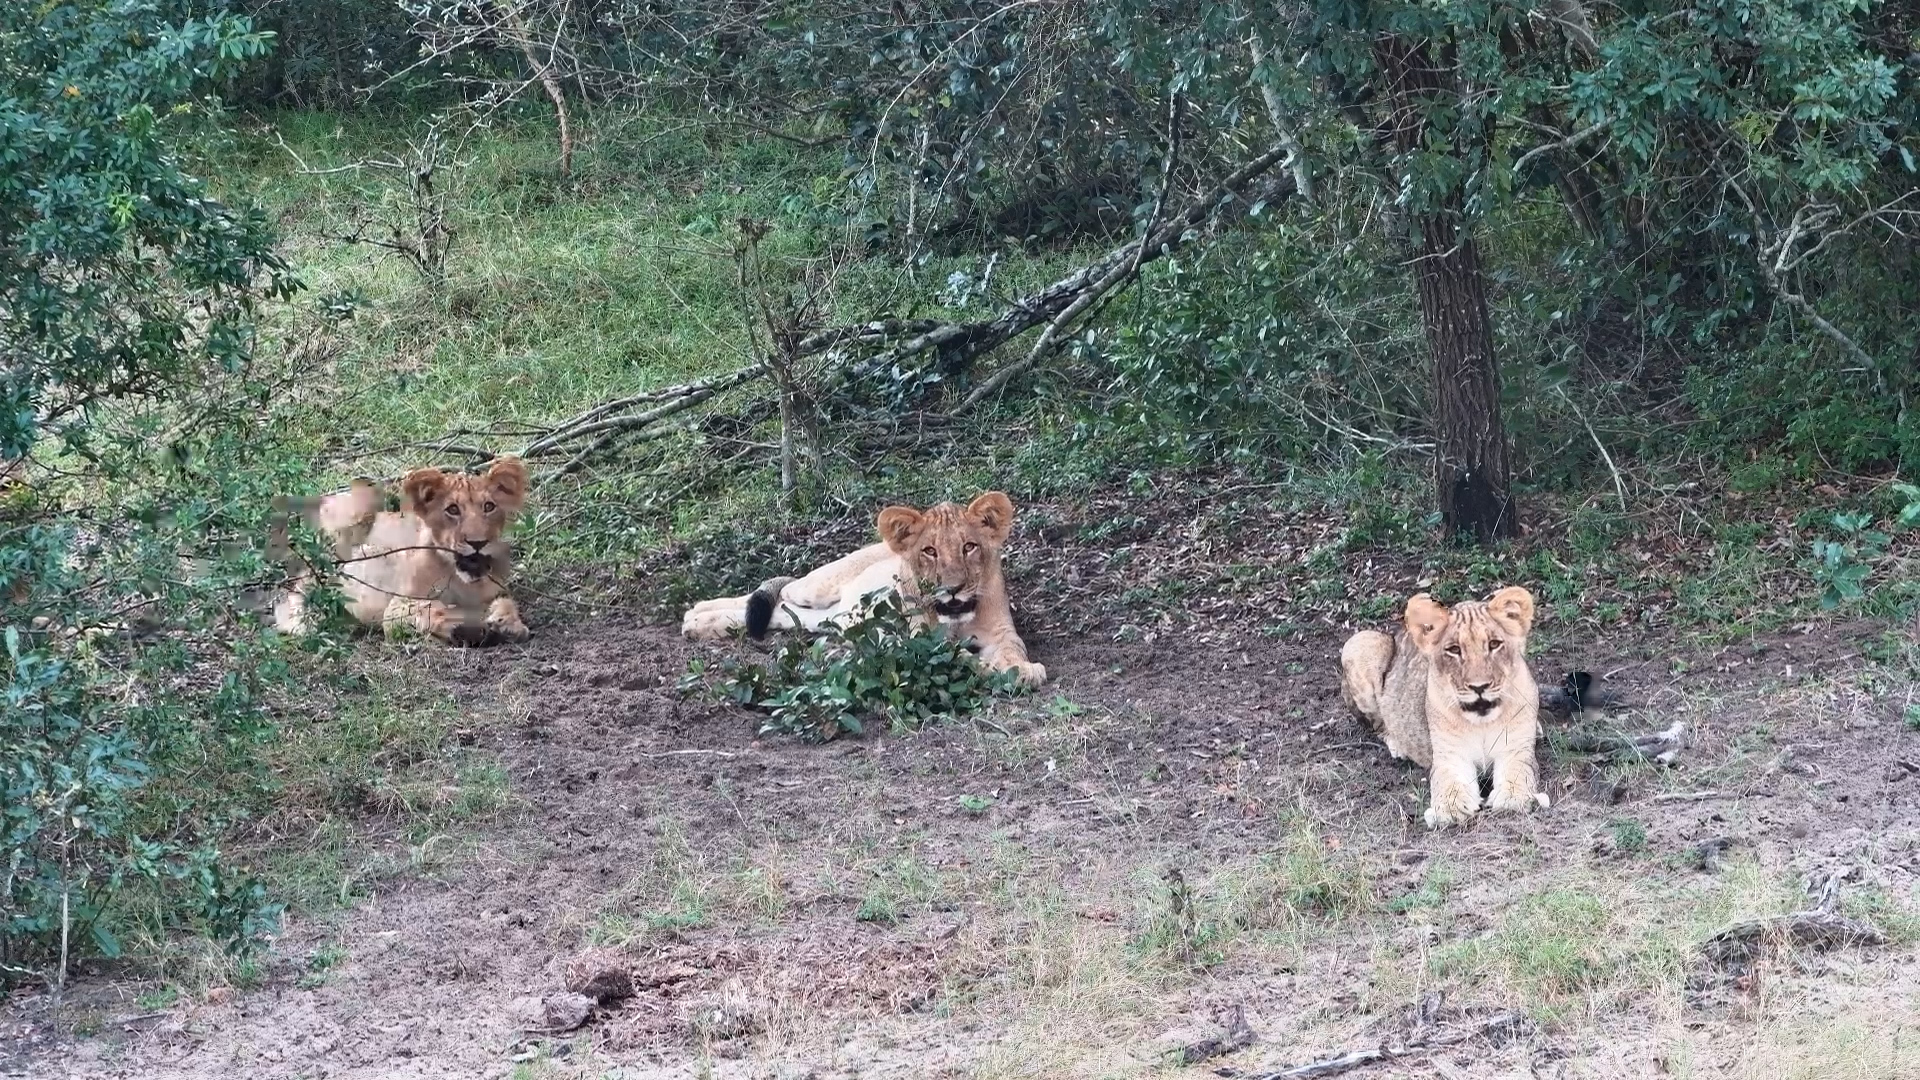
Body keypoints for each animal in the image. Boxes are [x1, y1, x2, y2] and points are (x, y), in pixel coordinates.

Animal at [273, 457, 531, 646]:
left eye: (489, 507)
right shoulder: (396, 609)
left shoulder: (496, 592)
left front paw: (508, 623)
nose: (478, 542)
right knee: (295, 593)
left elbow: (507, 602)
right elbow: (434, 609)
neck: (464, 582)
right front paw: (469, 629)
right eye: (452, 509)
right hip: (359, 508)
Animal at [681, 491, 1046, 688]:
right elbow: (959, 658)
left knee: (787, 615)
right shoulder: (919, 642)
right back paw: (696, 613)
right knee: (782, 594)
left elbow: (1014, 650)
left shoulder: (1001, 631)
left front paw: (1024, 670)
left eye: (969, 546)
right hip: (815, 585)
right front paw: (988, 668)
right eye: (929, 551)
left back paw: (701, 623)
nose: (952, 589)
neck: (956, 618)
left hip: (836, 617)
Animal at [1339, 587, 1547, 828]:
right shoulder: (1449, 757)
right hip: (1360, 642)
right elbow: (1448, 783)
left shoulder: (1516, 750)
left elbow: (1519, 773)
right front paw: (1450, 809)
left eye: (1494, 644)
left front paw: (1512, 797)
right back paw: (1397, 745)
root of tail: (1398, 633)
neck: (1482, 723)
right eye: (1454, 650)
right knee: (1377, 723)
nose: (1479, 687)